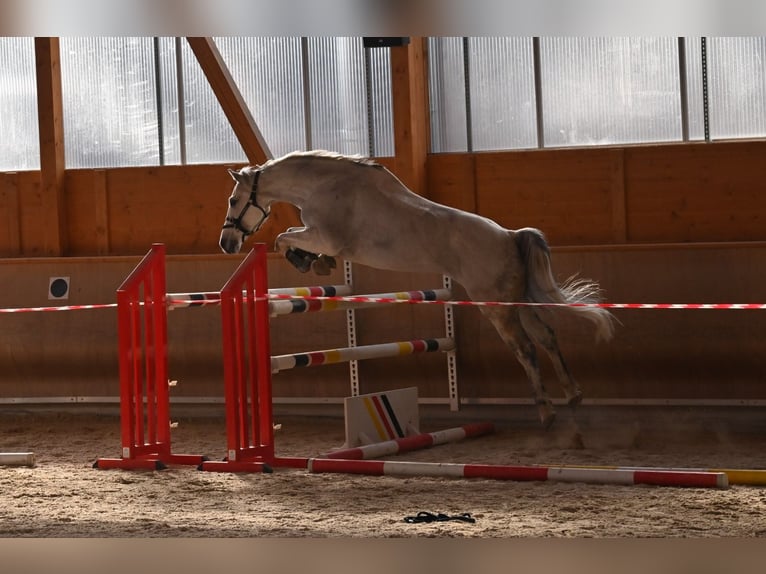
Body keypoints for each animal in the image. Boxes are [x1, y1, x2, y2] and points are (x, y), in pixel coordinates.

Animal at [219, 150, 616, 428]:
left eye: (233, 200)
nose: (227, 243)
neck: (325, 186)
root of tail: (510, 236)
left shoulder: (325, 237)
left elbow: (284, 239)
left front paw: (309, 262)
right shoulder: (322, 238)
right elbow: (290, 239)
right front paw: (318, 263)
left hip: (495, 306)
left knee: (526, 349)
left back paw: (547, 413)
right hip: (516, 300)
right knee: (547, 336)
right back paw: (573, 395)